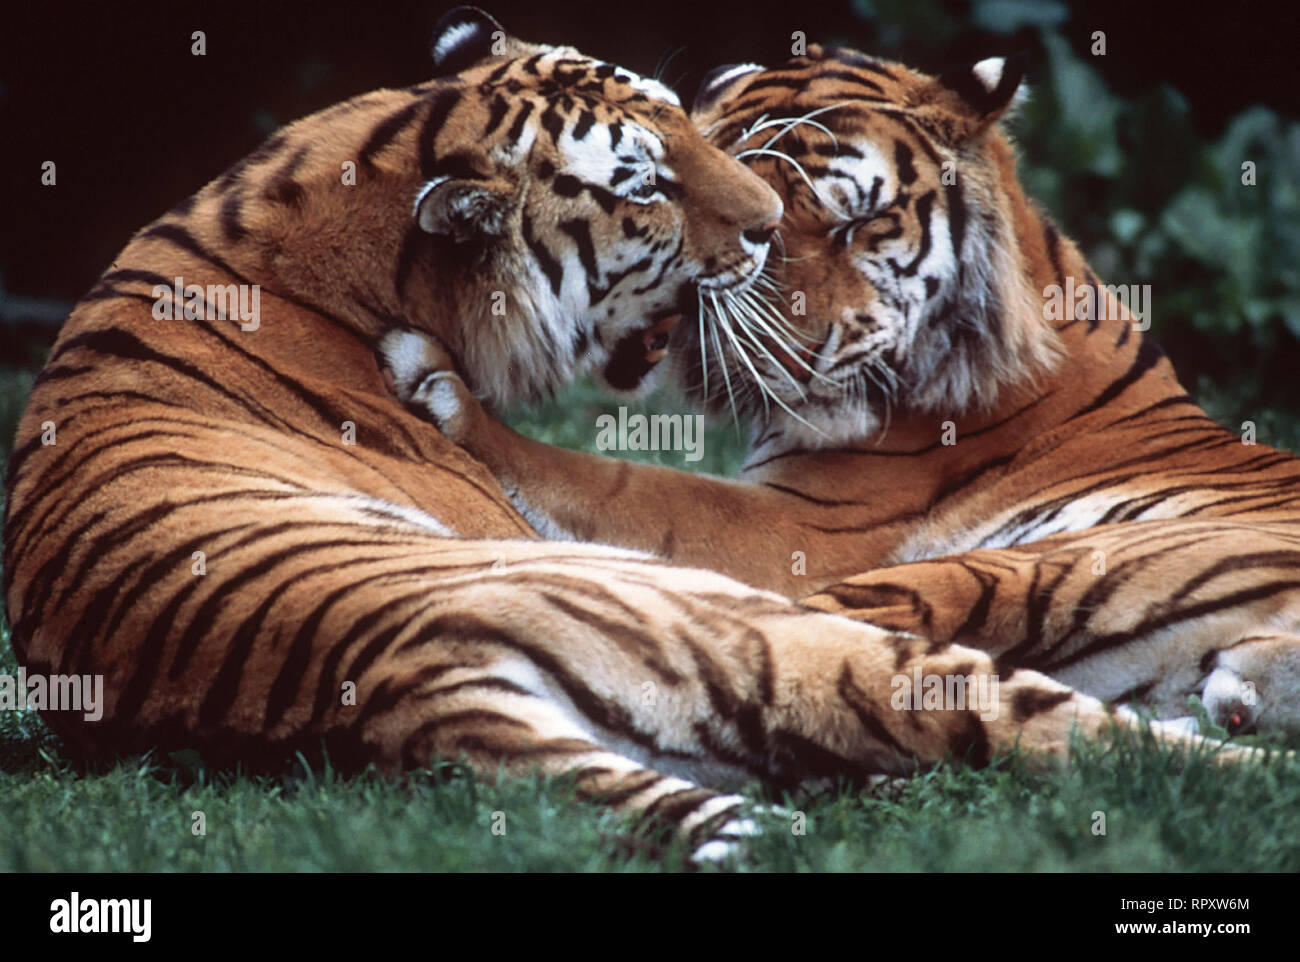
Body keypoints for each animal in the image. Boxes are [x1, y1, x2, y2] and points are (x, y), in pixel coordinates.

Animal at [379, 43, 1300, 738]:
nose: (799, 346)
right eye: (755, 216)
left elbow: (606, 479)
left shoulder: (797, 526)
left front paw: (442, 385)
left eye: (861, 224)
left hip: (1035, 562)